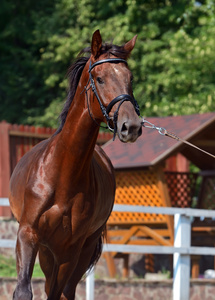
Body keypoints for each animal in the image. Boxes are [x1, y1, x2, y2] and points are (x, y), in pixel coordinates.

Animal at [8, 29, 143, 298]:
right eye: (99, 79)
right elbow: (24, 290)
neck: (62, 174)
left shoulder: (70, 248)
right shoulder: (28, 234)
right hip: (47, 250)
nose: (131, 126)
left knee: (66, 290)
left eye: (130, 78)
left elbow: (57, 292)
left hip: (81, 248)